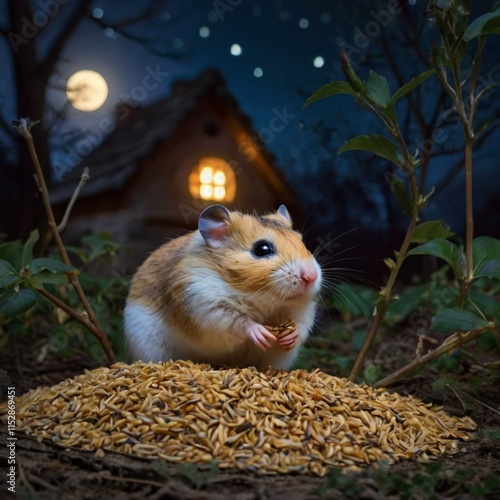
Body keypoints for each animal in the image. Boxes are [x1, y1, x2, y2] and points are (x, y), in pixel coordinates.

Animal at [123, 204, 322, 372]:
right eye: (262, 249)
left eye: (302, 242)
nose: (311, 276)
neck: (260, 298)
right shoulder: (205, 304)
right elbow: (239, 321)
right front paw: (260, 333)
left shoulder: (302, 312)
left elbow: (299, 325)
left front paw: (290, 336)